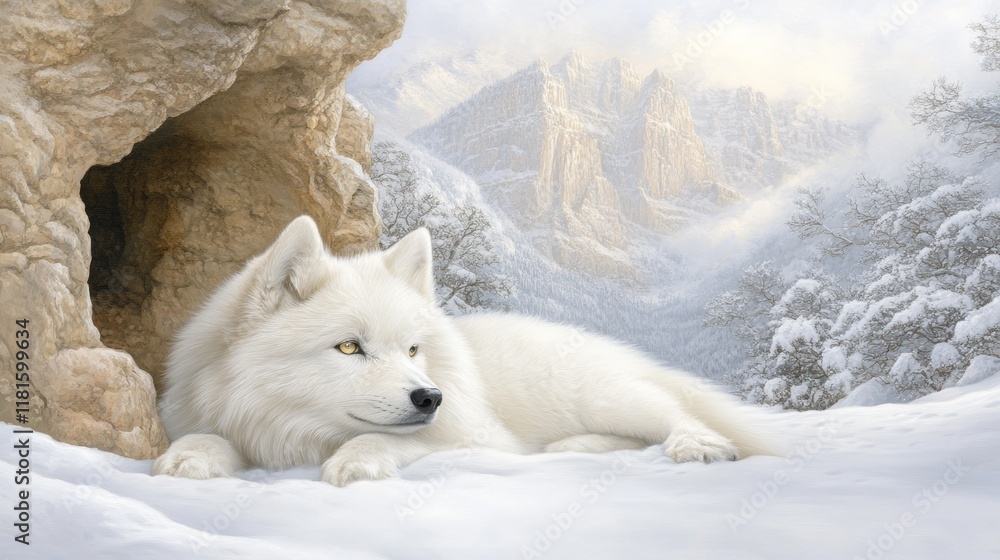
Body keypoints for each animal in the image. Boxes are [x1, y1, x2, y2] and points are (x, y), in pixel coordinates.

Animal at [153, 216, 777, 486]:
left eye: (412, 349)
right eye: (349, 347)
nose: (430, 397)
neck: (297, 435)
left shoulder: (476, 436)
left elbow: (392, 439)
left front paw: (357, 460)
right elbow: (209, 438)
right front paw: (191, 456)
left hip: (607, 397)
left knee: (679, 416)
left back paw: (699, 446)